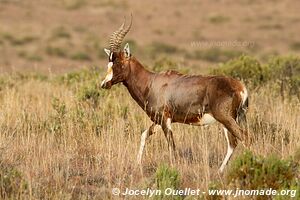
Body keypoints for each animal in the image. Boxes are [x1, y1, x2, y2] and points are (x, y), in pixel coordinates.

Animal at [101, 16, 248, 172]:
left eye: (118, 63)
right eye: (109, 63)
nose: (104, 84)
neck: (152, 81)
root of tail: (241, 87)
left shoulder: (165, 119)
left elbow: (171, 144)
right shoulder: (159, 120)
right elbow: (144, 134)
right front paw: (137, 163)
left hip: (226, 119)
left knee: (244, 137)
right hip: (231, 120)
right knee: (233, 143)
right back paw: (220, 171)